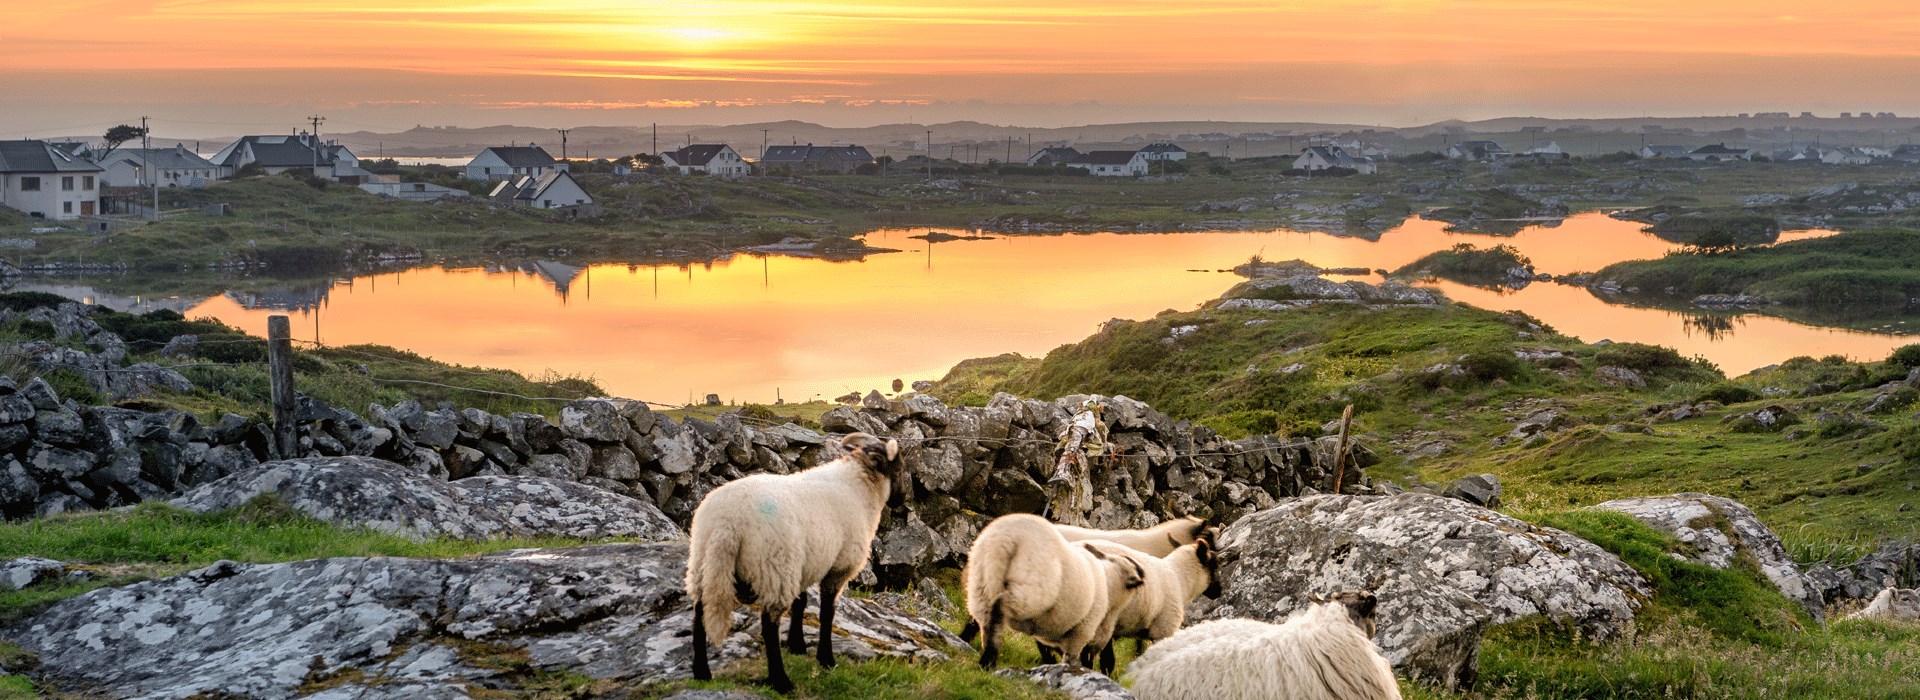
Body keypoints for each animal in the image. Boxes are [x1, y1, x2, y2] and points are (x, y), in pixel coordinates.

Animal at [687, 427, 902, 690]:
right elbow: (827, 612)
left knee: (699, 614)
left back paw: (701, 672)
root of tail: (727, 523)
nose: (902, 501)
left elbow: (801, 602)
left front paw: (796, 644)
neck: (860, 488)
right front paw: (826, 659)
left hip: (704, 563)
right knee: (769, 624)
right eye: (899, 469)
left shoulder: (806, 563)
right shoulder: (838, 566)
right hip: (774, 567)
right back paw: (780, 681)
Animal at [967, 510, 1144, 667]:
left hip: (981, 582)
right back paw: (988, 661)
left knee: (985, 620)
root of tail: (1008, 537)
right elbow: (1075, 656)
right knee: (1001, 607)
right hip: (1033, 585)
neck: (1109, 581)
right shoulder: (1082, 629)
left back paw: (987, 660)